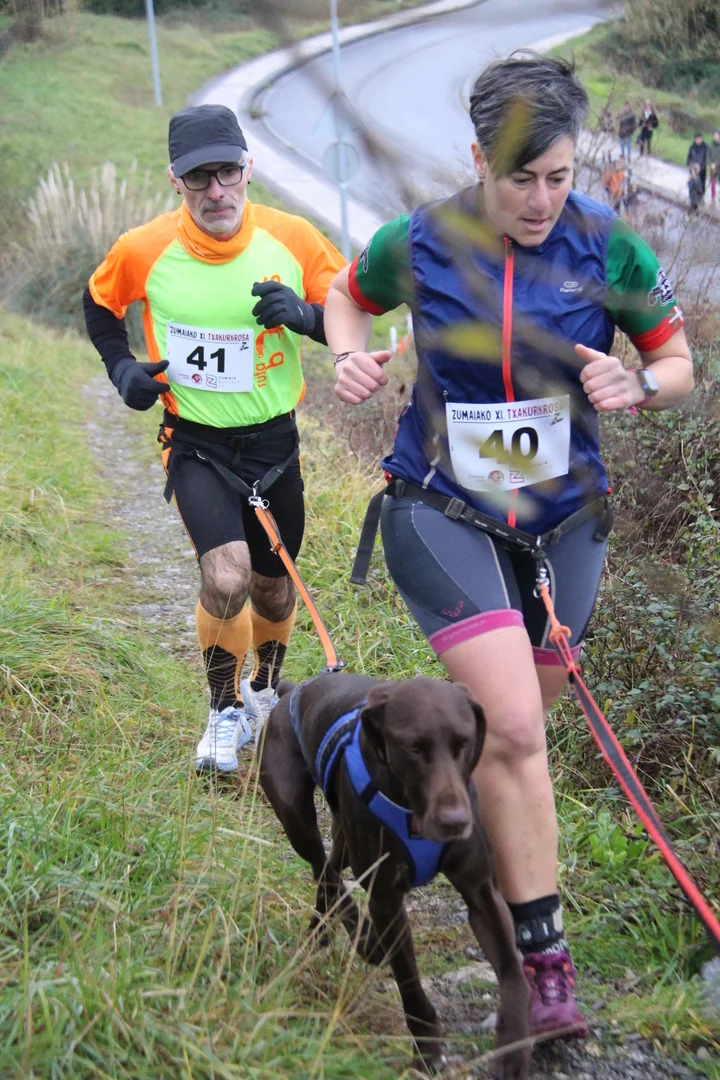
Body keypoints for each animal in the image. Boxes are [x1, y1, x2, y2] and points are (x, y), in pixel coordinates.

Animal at [258, 672, 530, 1078]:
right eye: (414, 747)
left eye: (463, 742)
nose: (455, 822)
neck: (411, 808)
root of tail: (293, 691)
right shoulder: (386, 900)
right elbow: (410, 983)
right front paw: (428, 1049)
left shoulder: (482, 892)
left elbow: (513, 968)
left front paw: (514, 1044)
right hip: (296, 815)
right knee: (324, 869)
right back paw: (364, 938)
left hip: (342, 832)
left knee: (330, 870)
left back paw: (320, 933)